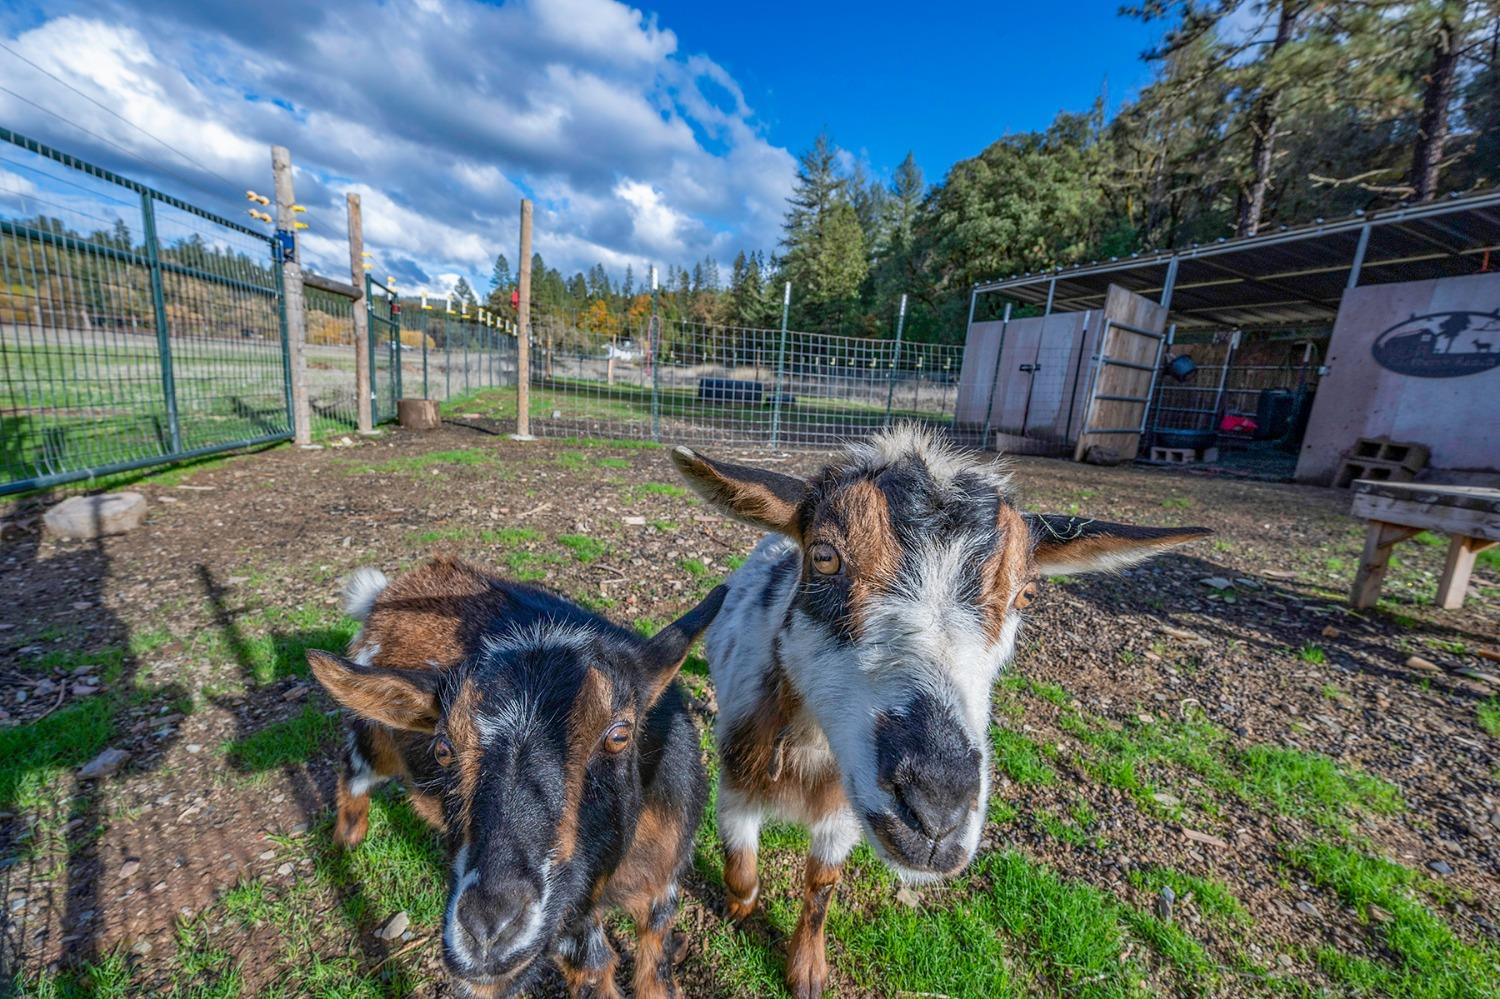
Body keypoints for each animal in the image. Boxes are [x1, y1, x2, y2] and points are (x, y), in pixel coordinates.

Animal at [306, 555, 726, 990]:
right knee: (352, 770)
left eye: (619, 735)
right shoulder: (570, 924)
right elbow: (594, 968)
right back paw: (348, 841)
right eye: (444, 748)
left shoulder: (663, 886)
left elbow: (655, 968)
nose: (487, 934)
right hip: (373, 739)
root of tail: (386, 593)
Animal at [675, 423, 1212, 990]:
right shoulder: (737, 781)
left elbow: (822, 883)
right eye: (824, 557)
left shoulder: (843, 809)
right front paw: (739, 910)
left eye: (1024, 595)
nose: (935, 815)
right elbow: (740, 862)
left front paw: (808, 970)